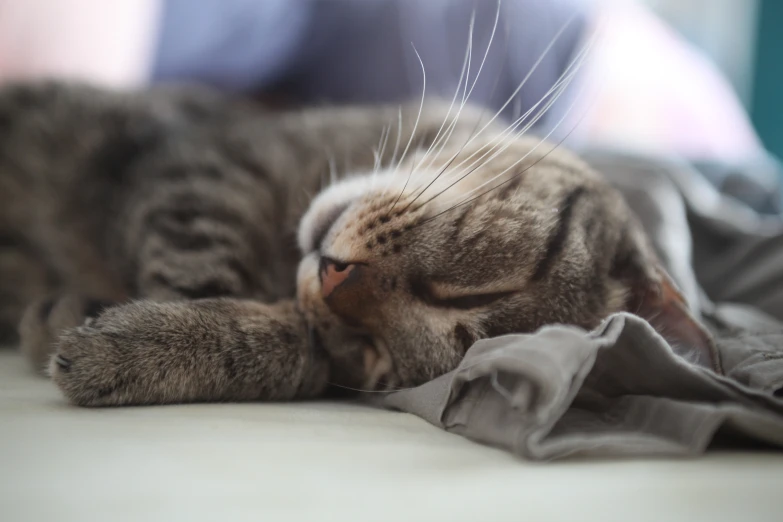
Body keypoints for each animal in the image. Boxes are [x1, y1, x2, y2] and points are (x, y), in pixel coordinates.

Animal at [0, 82, 724, 406]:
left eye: (377, 354)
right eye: (472, 289)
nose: (332, 276)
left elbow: (292, 345)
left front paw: (127, 342)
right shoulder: (201, 166)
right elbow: (202, 263)